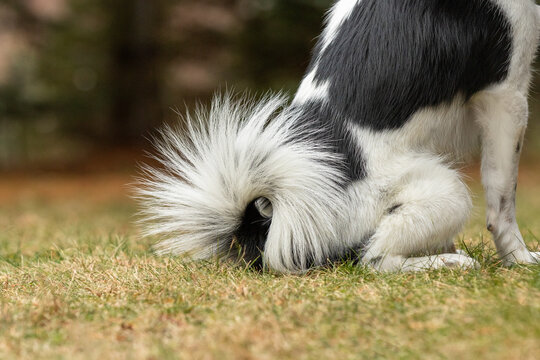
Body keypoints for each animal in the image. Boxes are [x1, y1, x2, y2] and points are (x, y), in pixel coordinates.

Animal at [137, 0, 540, 272]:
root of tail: (271, 224)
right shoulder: (506, 95)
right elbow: (503, 201)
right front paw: (520, 261)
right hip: (447, 191)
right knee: (374, 259)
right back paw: (447, 263)